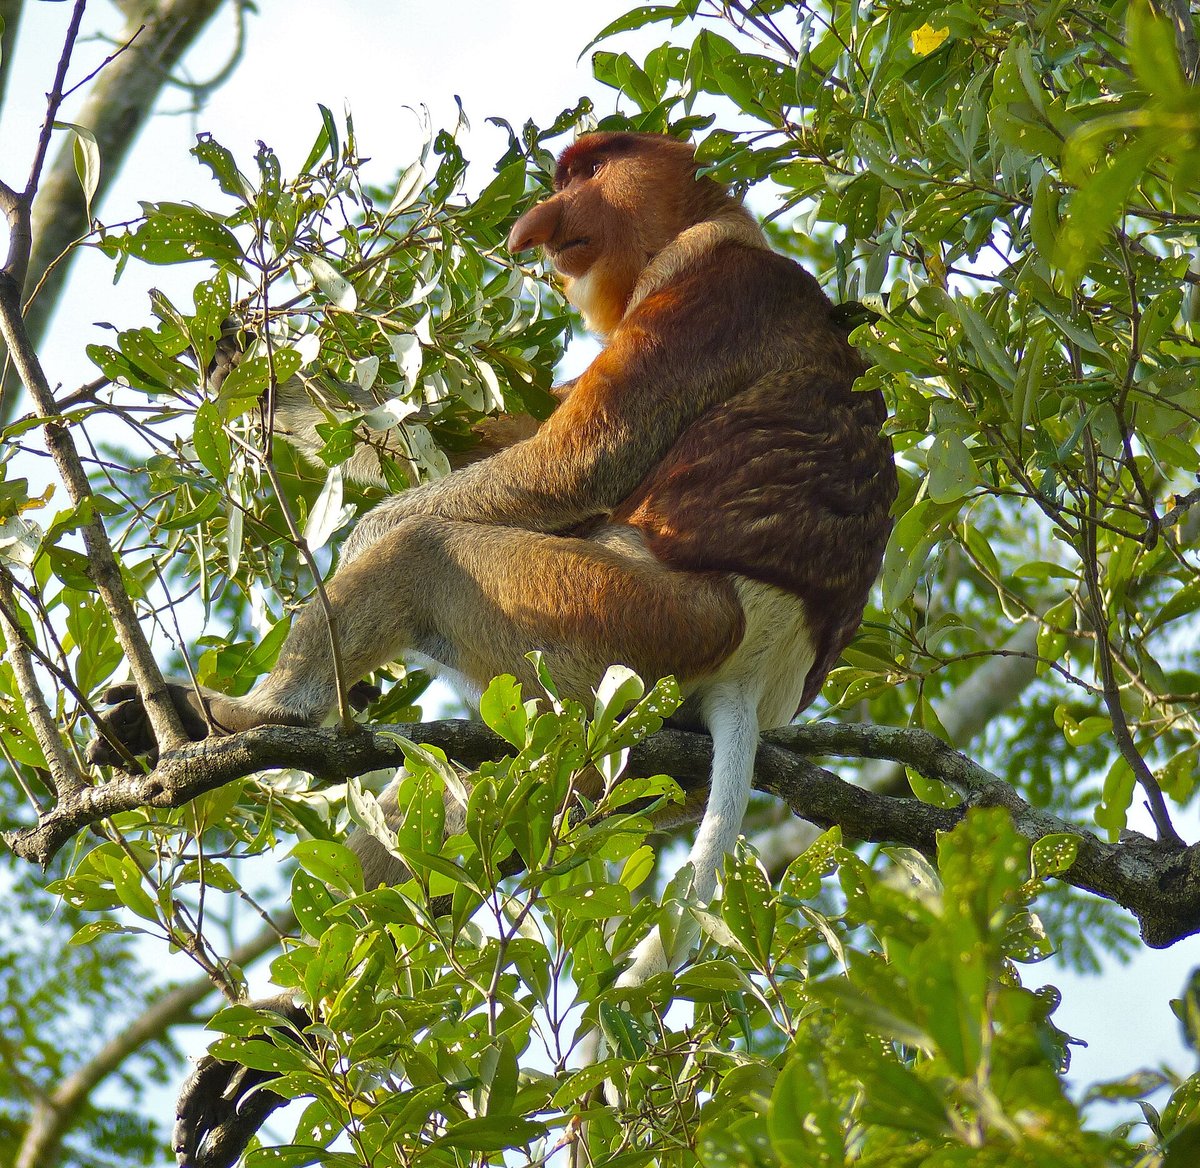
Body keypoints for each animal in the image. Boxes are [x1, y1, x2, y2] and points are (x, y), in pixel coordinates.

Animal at [90, 132, 897, 1167]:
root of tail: (764, 674)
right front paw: (239, 355)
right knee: (484, 799)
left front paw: (357, 533)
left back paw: (232, 720)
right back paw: (283, 1031)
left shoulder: (709, 287)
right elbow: (481, 431)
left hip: (623, 617)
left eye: (586, 172)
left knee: (430, 556)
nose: (532, 231)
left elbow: (569, 460)